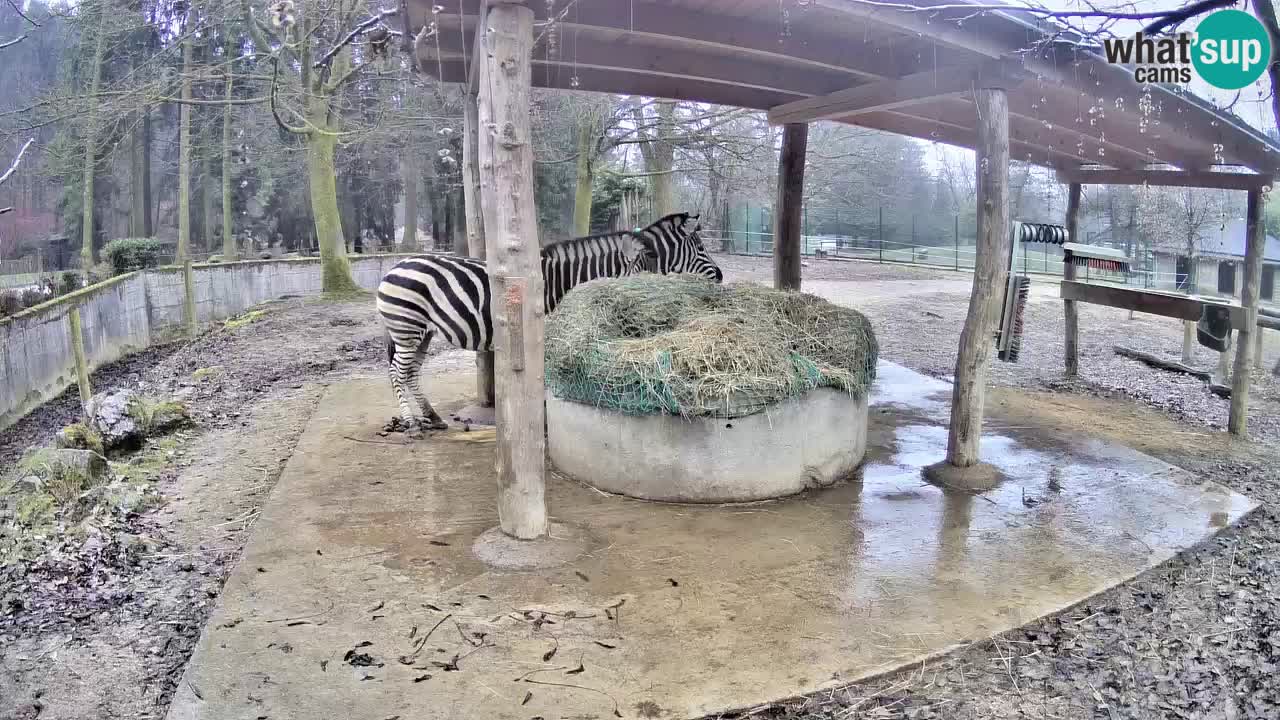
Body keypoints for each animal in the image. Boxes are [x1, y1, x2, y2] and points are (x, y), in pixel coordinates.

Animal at [373, 207, 727, 430]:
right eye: (700, 248)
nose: (721, 276)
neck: (565, 280)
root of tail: (394, 266)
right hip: (407, 328)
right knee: (398, 372)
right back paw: (410, 422)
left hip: (423, 332)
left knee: (411, 373)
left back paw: (432, 417)